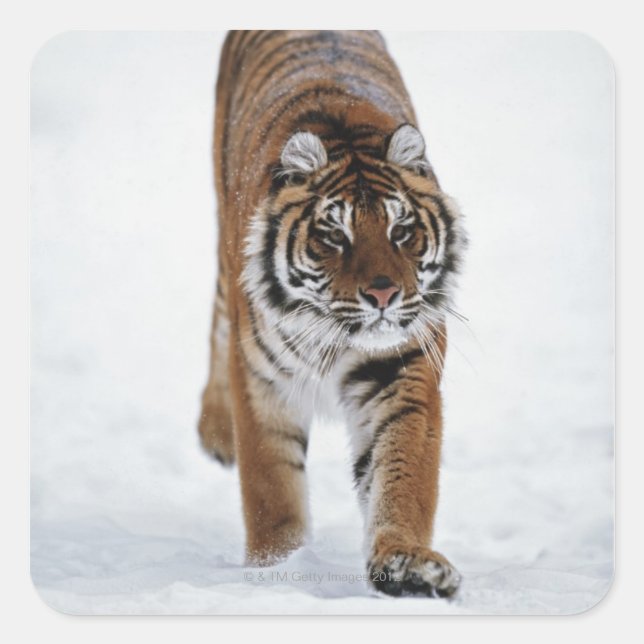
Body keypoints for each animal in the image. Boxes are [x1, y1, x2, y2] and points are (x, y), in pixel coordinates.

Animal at [198, 30, 466, 598]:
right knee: (217, 322)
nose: (384, 296)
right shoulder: (261, 380)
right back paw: (216, 434)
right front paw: (276, 573)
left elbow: (403, 471)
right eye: (334, 236)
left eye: (400, 231)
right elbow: (271, 488)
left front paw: (407, 565)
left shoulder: (402, 366)